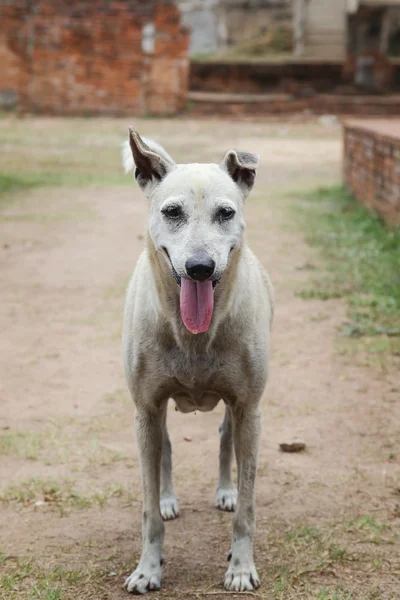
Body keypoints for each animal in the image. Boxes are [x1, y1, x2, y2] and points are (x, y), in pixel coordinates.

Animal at [120, 129, 274, 592]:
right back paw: (169, 499)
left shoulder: (250, 409)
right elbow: (148, 508)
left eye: (226, 213)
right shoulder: (146, 408)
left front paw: (240, 567)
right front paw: (147, 568)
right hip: (153, 416)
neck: (194, 334)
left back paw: (225, 491)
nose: (201, 267)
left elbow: (248, 506)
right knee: (166, 449)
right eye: (172, 212)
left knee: (225, 437)